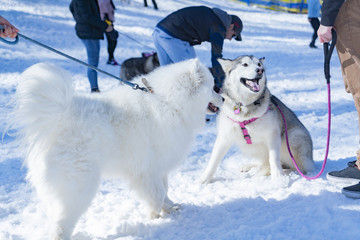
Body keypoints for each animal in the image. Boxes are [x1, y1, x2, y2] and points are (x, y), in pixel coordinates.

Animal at [10, 58, 222, 240]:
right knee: (62, 223)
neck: (170, 102)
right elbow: (157, 194)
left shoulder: (159, 166)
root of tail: (59, 118)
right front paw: (154, 216)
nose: (224, 99)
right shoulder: (147, 170)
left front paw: (170, 207)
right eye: (213, 88)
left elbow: (164, 191)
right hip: (80, 185)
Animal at [200, 55, 316, 184]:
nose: (260, 70)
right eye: (245, 64)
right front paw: (204, 179)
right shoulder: (224, 136)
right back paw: (251, 167)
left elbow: (274, 159)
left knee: (297, 167)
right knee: (265, 162)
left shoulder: (272, 135)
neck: (245, 106)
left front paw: (278, 178)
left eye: (259, 64)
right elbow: (214, 160)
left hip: (292, 137)